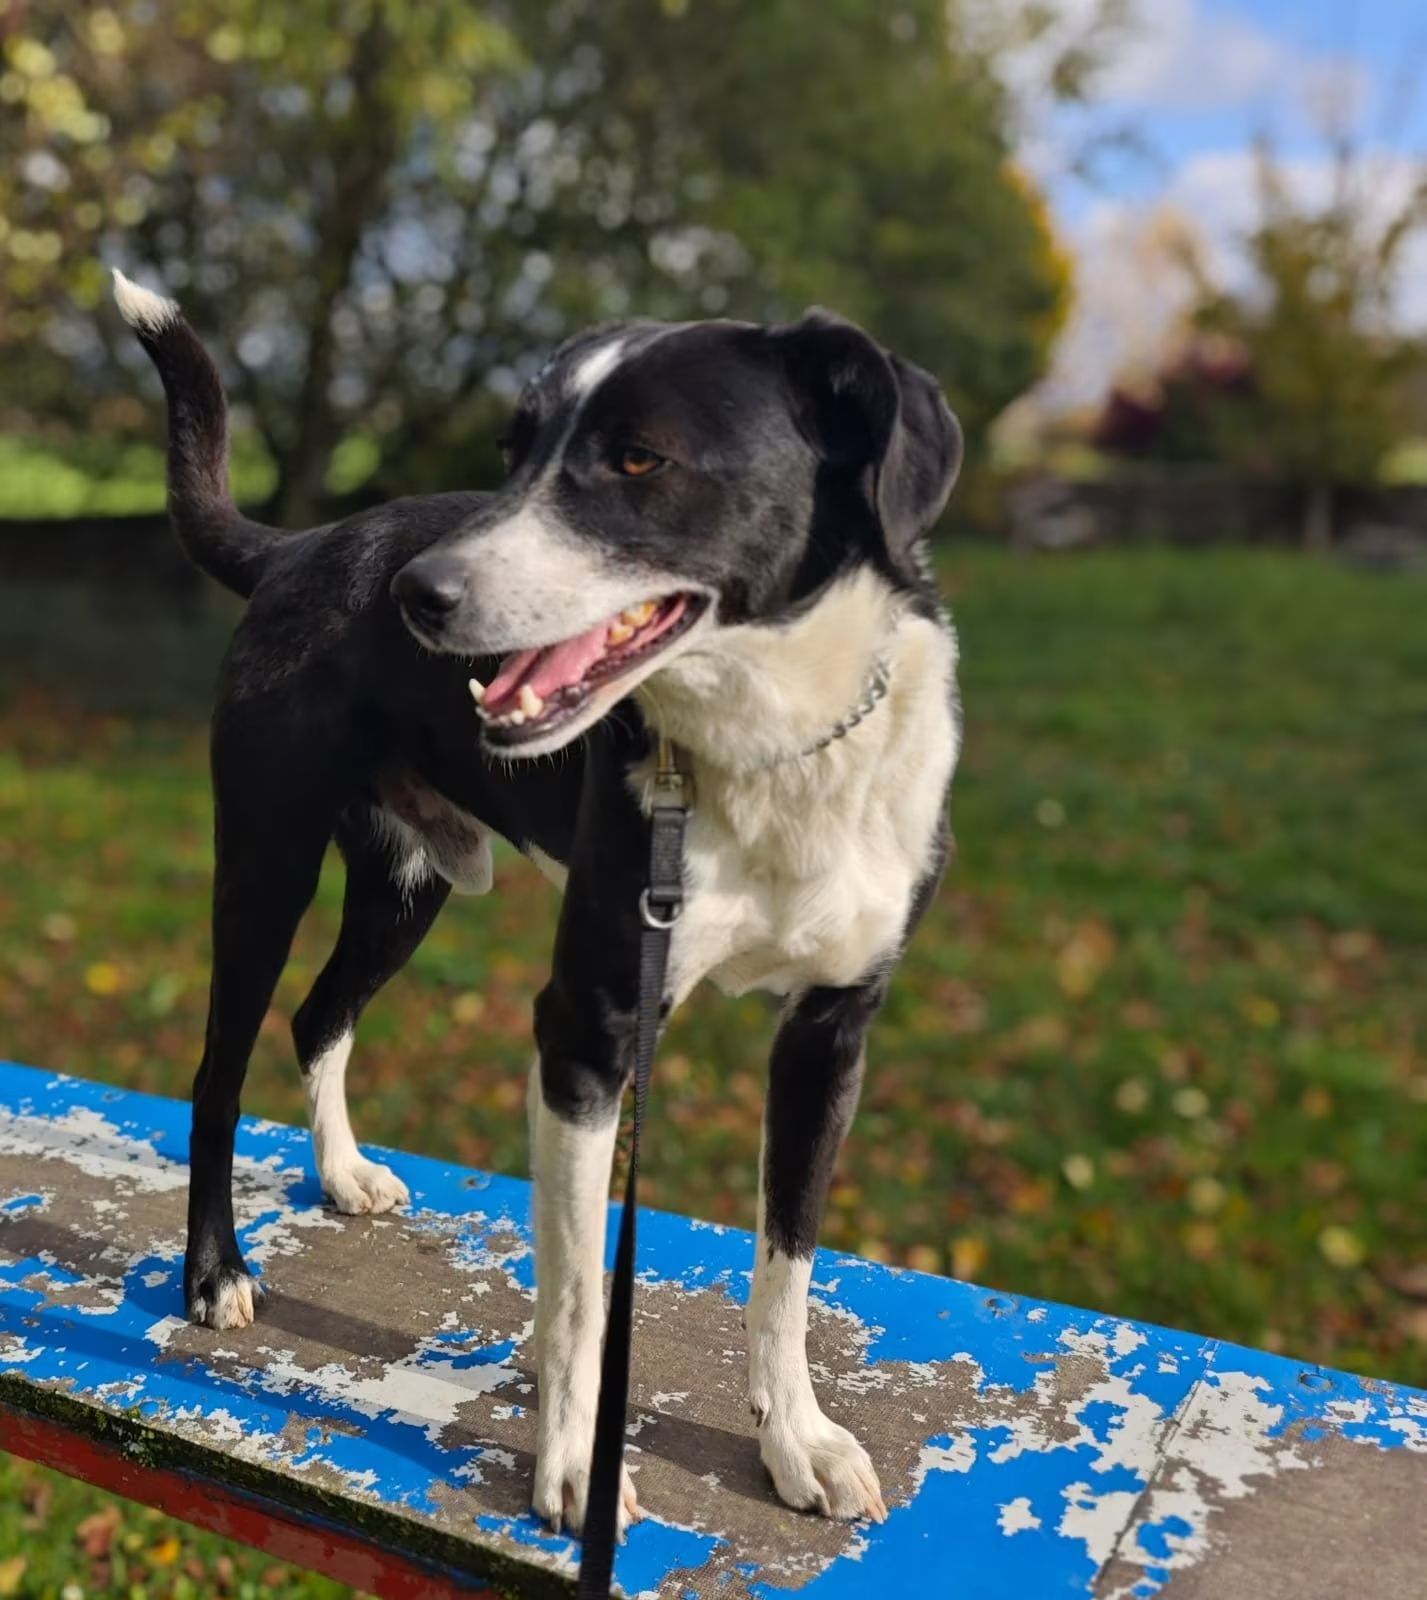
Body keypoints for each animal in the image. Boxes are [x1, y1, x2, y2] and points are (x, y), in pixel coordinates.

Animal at [113, 268, 963, 1533]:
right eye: (511, 454)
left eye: (639, 459)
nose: (415, 596)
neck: (768, 746)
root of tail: (303, 548)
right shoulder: (587, 1029)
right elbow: (576, 1292)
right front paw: (572, 1464)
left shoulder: (830, 1035)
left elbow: (787, 1258)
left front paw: (793, 1435)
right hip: (265, 864)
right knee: (219, 1069)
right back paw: (214, 1272)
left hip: (406, 887)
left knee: (320, 1015)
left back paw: (342, 1171)